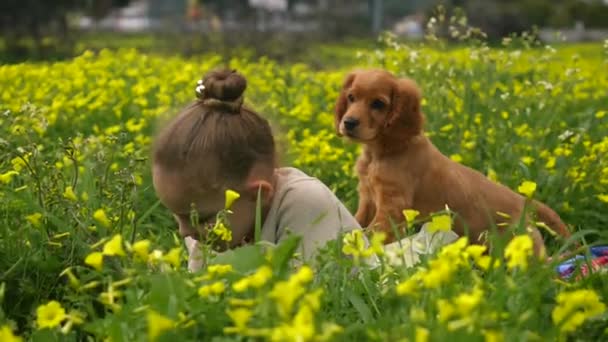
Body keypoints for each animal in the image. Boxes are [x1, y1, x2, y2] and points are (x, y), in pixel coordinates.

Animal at [338, 69, 568, 255]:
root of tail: (523, 200)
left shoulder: (392, 205)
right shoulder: (368, 198)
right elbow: (359, 220)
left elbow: (372, 232)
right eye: (351, 97)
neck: (379, 153)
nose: (348, 122)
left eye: (378, 103)